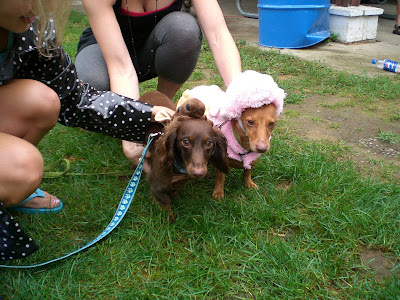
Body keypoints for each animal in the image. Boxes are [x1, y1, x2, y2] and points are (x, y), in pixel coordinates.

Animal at [140, 92, 228, 223]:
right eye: (185, 141)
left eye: (209, 143)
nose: (198, 173)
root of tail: (151, 91)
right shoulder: (157, 185)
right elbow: (165, 201)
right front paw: (168, 217)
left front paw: (174, 193)